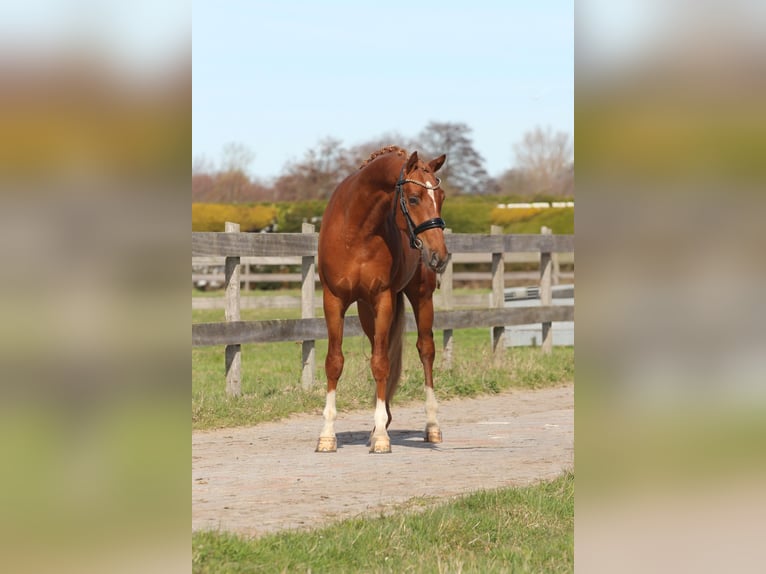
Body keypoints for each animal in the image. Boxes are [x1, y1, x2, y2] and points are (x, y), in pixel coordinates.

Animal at [315, 146, 450, 454]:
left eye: (441, 198)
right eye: (413, 198)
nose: (440, 256)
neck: (357, 231)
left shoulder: (383, 299)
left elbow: (379, 363)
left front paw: (381, 438)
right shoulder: (334, 300)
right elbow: (335, 362)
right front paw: (327, 435)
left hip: (421, 297)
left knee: (425, 351)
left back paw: (431, 426)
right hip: (366, 311)